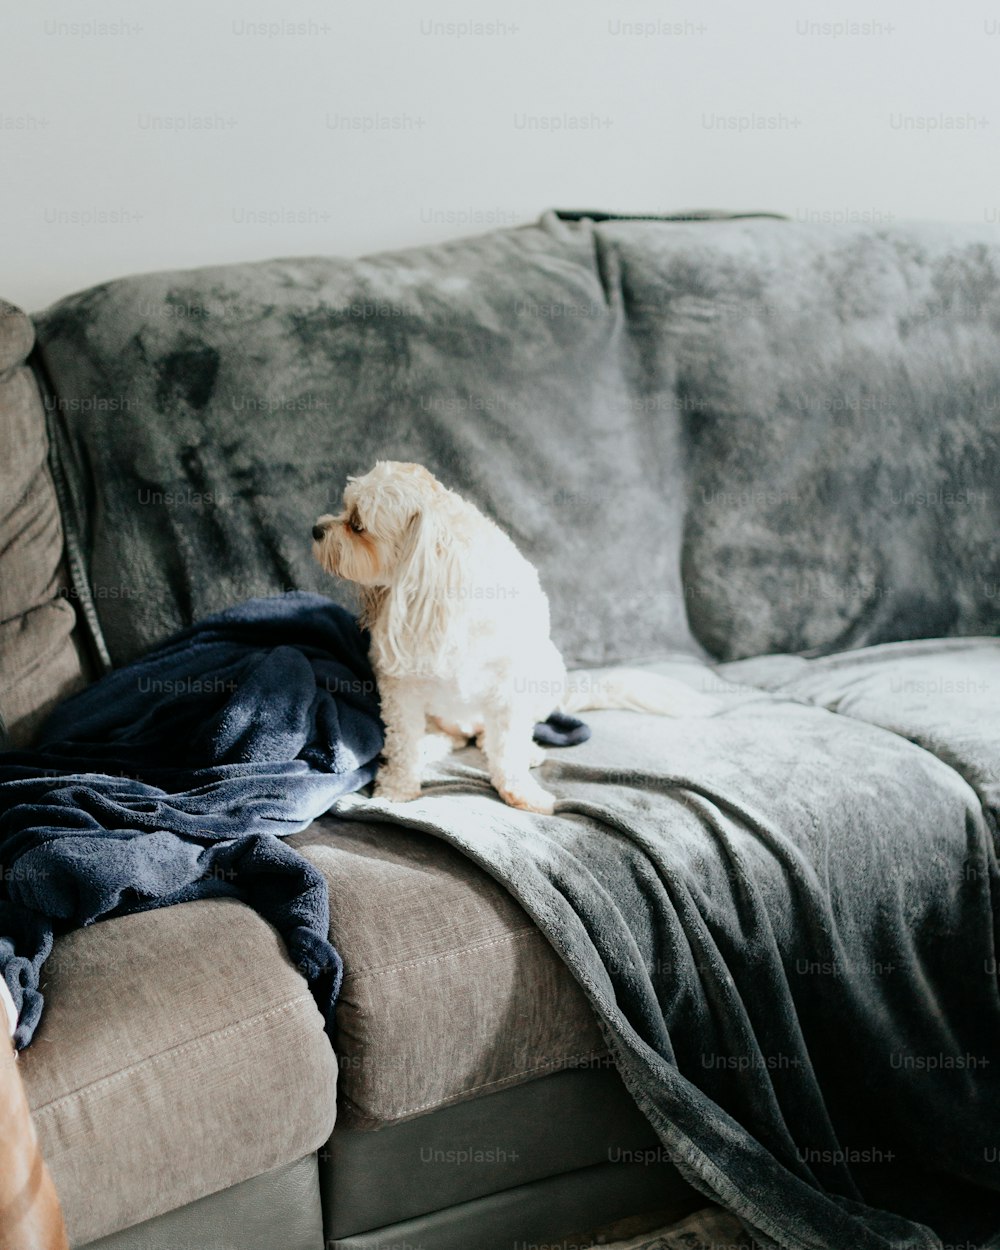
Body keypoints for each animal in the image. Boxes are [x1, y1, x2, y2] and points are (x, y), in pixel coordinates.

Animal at [312, 460, 710, 810]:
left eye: (357, 524)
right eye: (345, 509)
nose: (316, 530)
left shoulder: (510, 687)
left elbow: (508, 747)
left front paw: (520, 790)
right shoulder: (400, 683)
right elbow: (403, 741)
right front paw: (398, 787)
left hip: (548, 670)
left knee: (501, 733)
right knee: (452, 735)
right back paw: (435, 743)